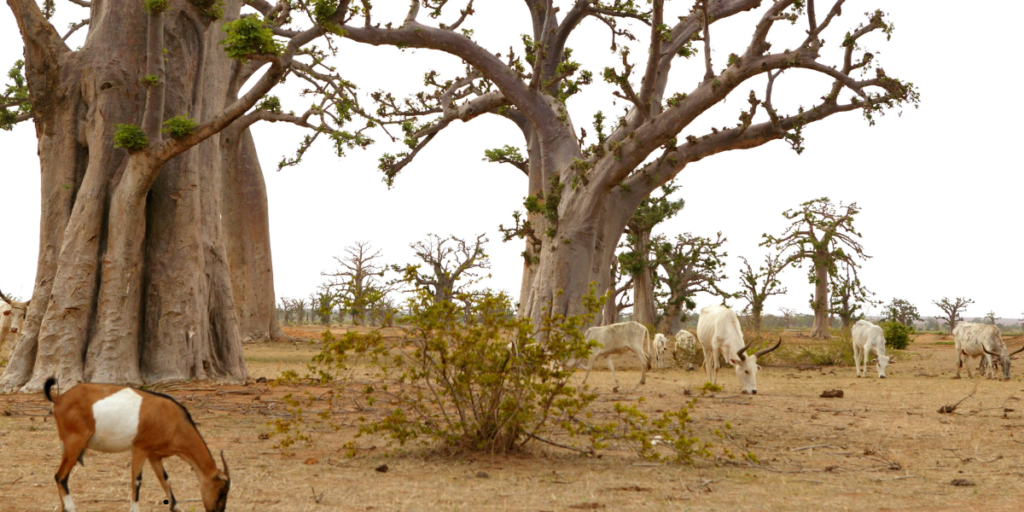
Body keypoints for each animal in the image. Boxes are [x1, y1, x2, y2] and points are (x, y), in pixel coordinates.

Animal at [45, 376, 231, 512]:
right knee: (60, 476)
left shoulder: (154, 455)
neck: (175, 422)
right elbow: (137, 480)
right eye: (221, 491)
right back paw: (71, 507)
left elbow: (165, 479)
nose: (217, 511)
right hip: (75, 441)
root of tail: (59, 399)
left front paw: (176, 507)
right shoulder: (140, 448)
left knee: (63, 477)